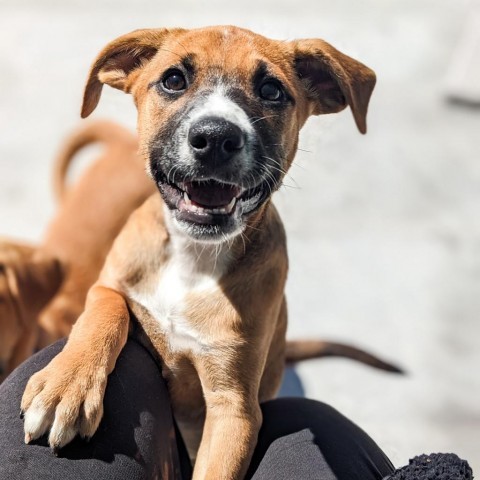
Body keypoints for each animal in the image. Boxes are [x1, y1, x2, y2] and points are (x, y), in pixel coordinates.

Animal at [21, 27, 378, 480]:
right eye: (173, 79)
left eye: (271, 90)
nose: (215, 138)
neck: (192, 258)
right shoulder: (109, 283)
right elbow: (104, 311)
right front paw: (65, 385)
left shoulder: (235, 410)